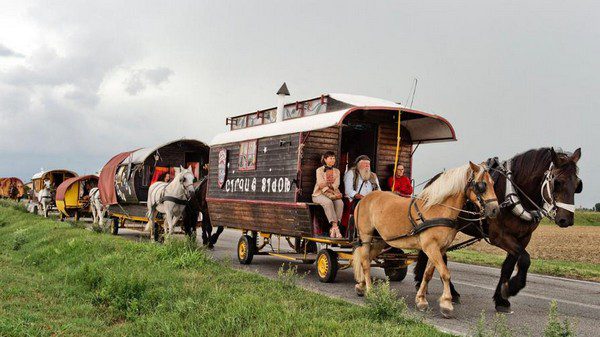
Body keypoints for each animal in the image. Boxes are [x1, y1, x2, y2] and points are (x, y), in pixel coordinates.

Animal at [354, 161, 500, 316]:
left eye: (493, 183)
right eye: (482, 185)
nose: (495, 209)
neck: (438, 210)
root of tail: (364, 199)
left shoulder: (440, 249)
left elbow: (428, 274)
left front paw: (421, 299)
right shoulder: (431, 247)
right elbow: (445, 273)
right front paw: (446, 303)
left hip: (380, 239)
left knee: (366, 259)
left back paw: (361, 285)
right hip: (366, 236)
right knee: (365, 261)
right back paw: (369, 290)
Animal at [414, 148, 584, 312]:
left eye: (578, 185)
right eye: (558, 182)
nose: (567, 220)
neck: (513, 194)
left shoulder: (523, 237)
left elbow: (509, 266)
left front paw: (502, 298)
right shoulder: (499, 236)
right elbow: (525, 259)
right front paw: (512, 288)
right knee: (441, 256)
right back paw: (450, 292)